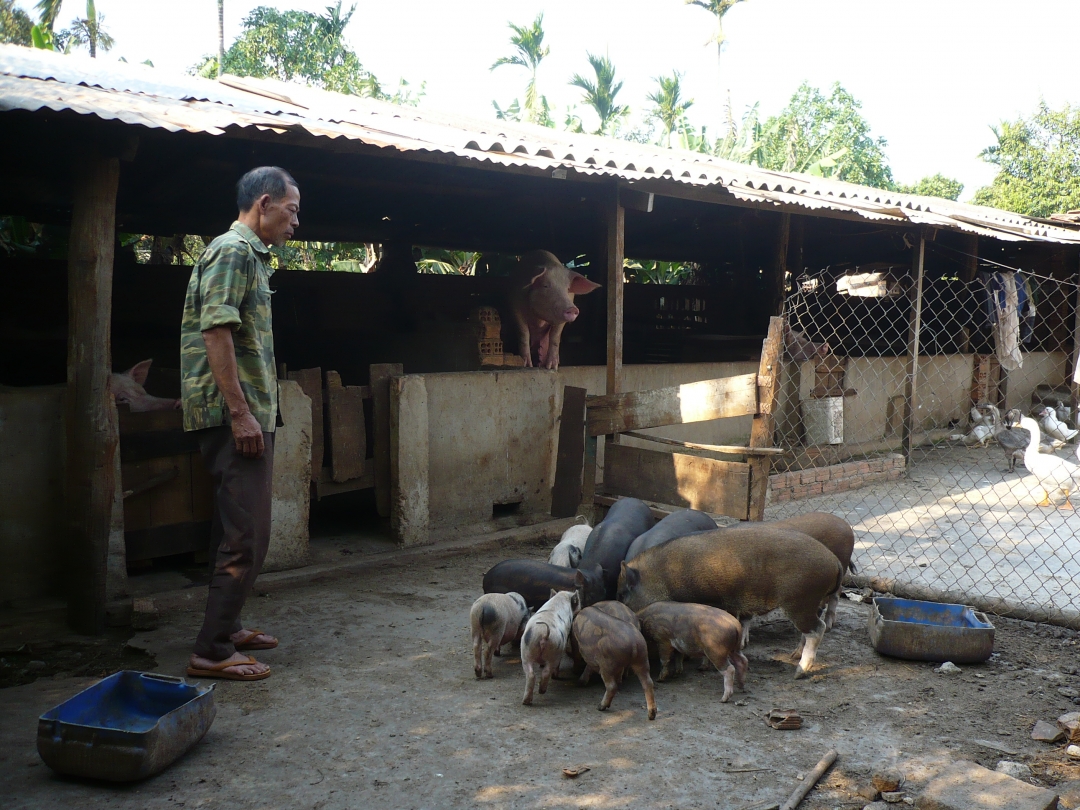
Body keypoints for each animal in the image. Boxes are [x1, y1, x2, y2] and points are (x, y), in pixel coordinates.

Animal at [617, 526, 844, 679]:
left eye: (621, 595)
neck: (662, 577)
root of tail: (834, 562)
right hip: (811, 602)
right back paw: (793, 655)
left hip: (799, 601)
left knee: (817, 629)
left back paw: (799, 672)